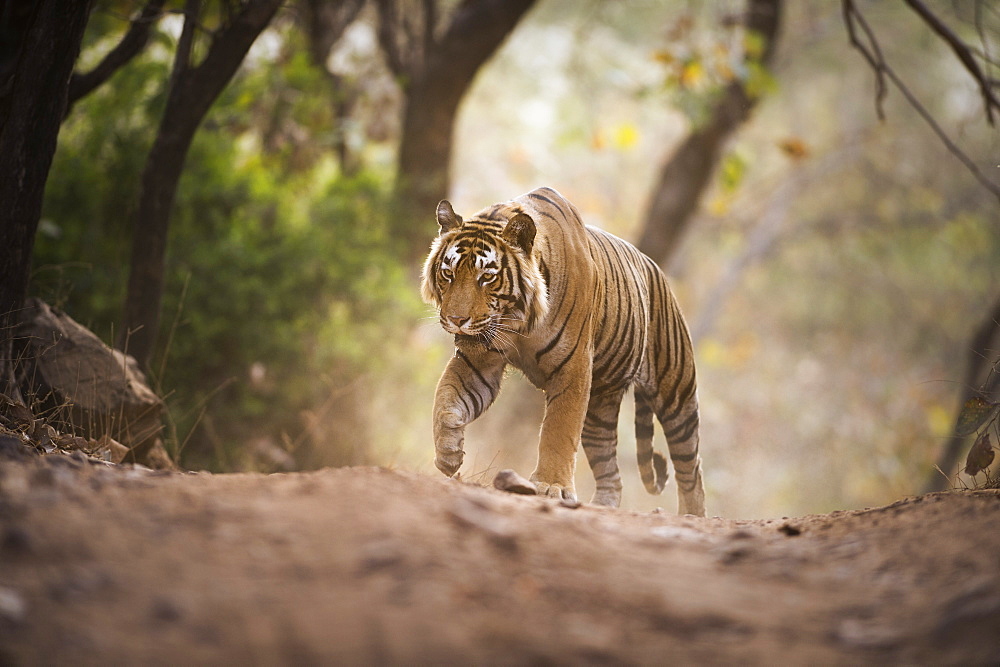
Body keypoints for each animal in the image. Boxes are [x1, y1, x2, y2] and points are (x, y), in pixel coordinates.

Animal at [418, 188, 708, 516]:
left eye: (487, 277)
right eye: (448, 273)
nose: (456, 320)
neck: (518, 320)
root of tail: (656, 269)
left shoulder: (573, 368)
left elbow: (558, 430)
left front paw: (551, 486)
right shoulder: (478, 362)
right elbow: (446, 398)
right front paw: (449, 451)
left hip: (677, 394)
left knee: (690, 467)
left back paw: (693, 514)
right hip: (599, 409)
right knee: (611, 471)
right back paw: (603, 505)